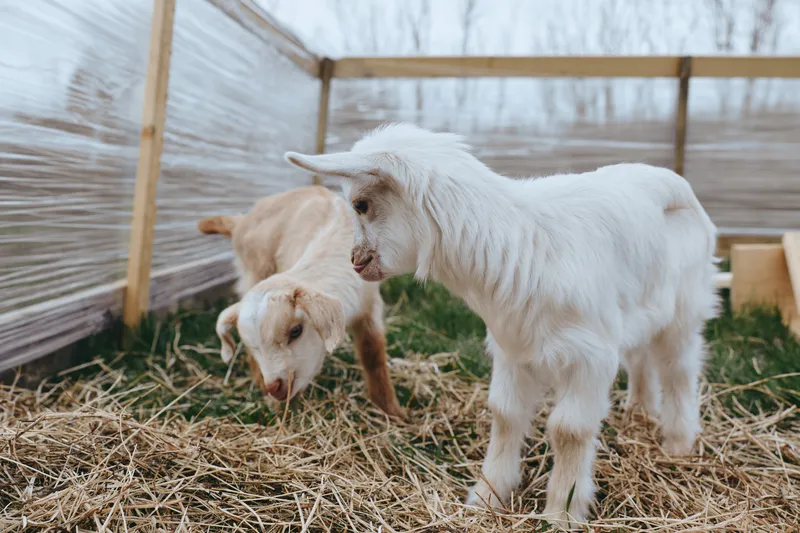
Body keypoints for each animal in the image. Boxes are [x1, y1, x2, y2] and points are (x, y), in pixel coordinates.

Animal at [198, 186, 403, 418]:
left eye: (296, 331)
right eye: (254, 344)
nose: (274, 388)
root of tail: (241, 221)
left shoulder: (370, 307)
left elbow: (373, 356)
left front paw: (394, 412)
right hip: (254, 270)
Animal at [284, 124, 719, 528]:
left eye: (361, 204)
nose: (356, 261)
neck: (521, 246)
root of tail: (674, 183)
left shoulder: (588, 356)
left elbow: (569, 430)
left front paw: (561, 513)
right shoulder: (513, 347)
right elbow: (506, 414)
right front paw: (487, 497)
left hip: (685, 306)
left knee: (679, 368)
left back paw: (678, 443)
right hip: (639, 312)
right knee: (641, 356)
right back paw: (639, 412)